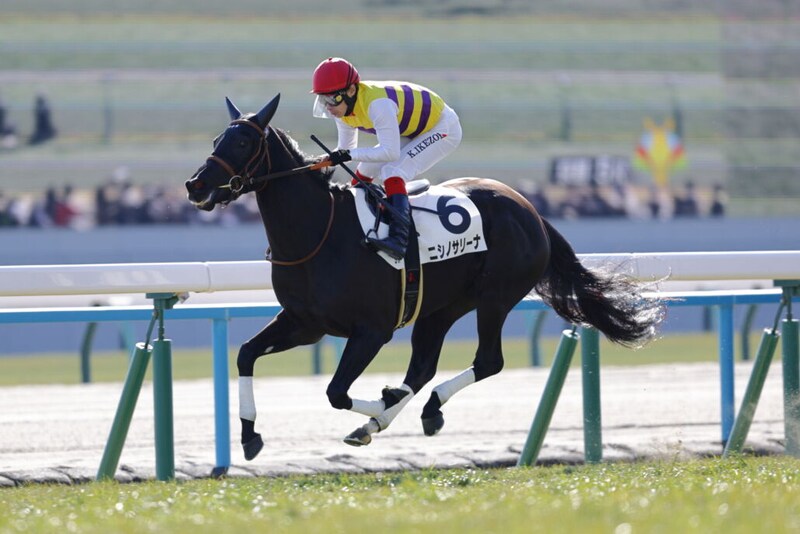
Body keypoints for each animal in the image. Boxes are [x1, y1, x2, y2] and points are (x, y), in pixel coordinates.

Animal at [185, 94, 664, 461]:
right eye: (217, 138)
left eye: (243, 140)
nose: (195, 185)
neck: (318, 233)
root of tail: (529, 208)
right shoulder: (305, 323)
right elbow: (246, 355)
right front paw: (250, 436)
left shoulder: (371, 330)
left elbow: (336, 392)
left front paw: (380, 401)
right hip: (441, 307)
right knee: (422, 368)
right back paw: (397, 414)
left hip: (495, 296)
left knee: (486, 361)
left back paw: (407, 408)